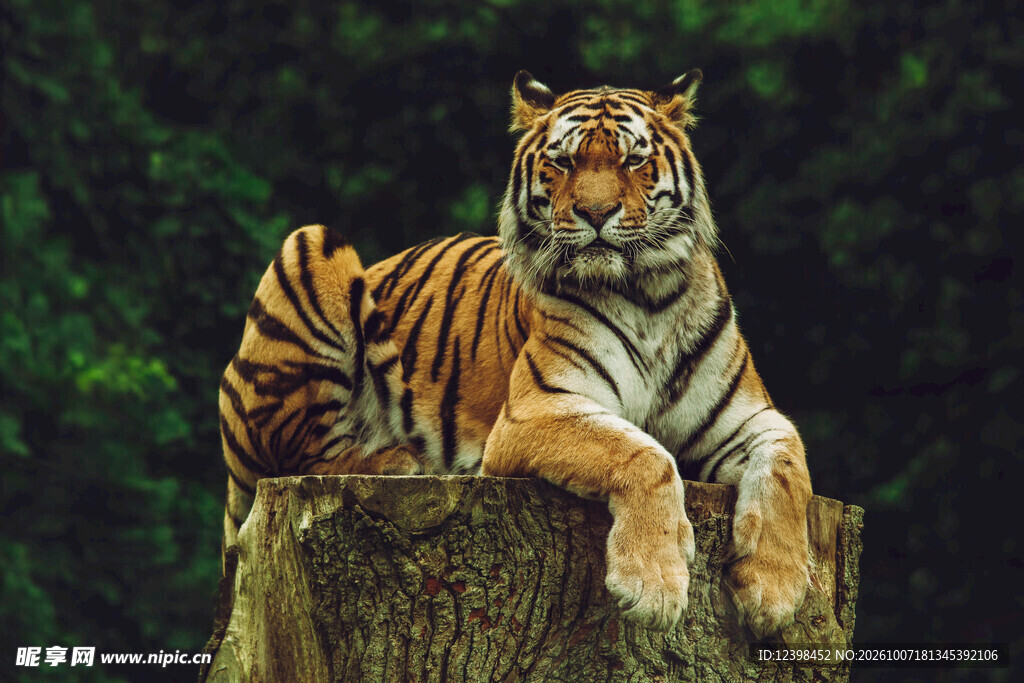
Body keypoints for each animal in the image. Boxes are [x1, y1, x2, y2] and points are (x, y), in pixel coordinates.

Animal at [218, 69, 813, 637]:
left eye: (633, 159)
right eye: (563, 161)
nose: (596, 212)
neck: (649, 297)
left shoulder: (750, 419)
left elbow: (788, 472)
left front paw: (775, 592)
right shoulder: (537, 409)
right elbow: (644, 454)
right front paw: (653, 586)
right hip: (309, 246)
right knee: (301, 454)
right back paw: (398, 459)